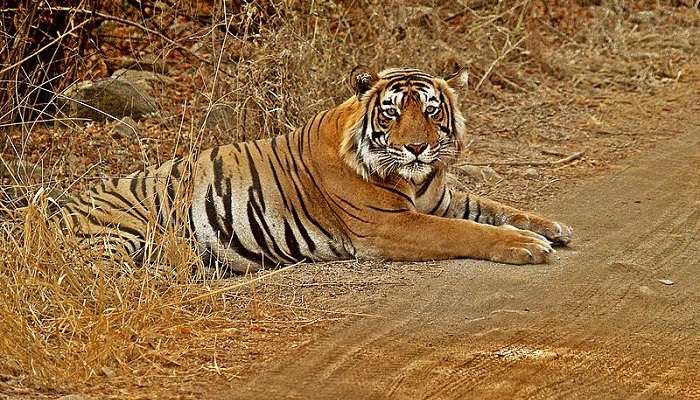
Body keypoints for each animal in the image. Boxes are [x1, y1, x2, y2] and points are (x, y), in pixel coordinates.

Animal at [2, 67, 572, 276]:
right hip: (120, 234)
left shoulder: (441, 197)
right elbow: (466, 230)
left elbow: (496, 208)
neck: (414, 179)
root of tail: (46, 209)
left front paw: (553, 227)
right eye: (392, 113)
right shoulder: (390, 226)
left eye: (431, 111)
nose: (416, 149)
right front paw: (526, 246)